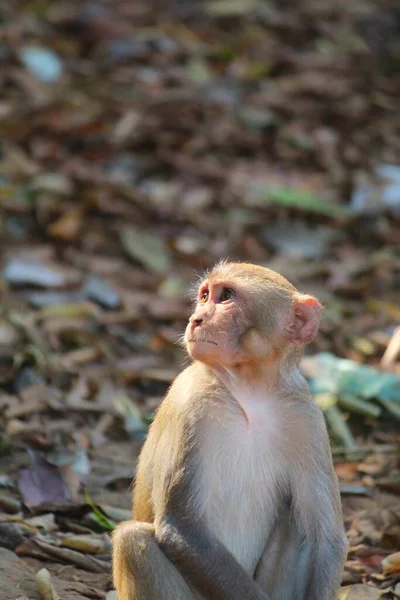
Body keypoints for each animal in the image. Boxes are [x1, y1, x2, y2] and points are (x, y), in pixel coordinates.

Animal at [111, 262, 346, 600]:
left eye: (226, 297)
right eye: (204, 296)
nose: (196, 319)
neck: (250, 393)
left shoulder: (306, 418)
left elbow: (324, 540)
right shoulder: (191, 403)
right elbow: (183, 527)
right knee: (132, 539)